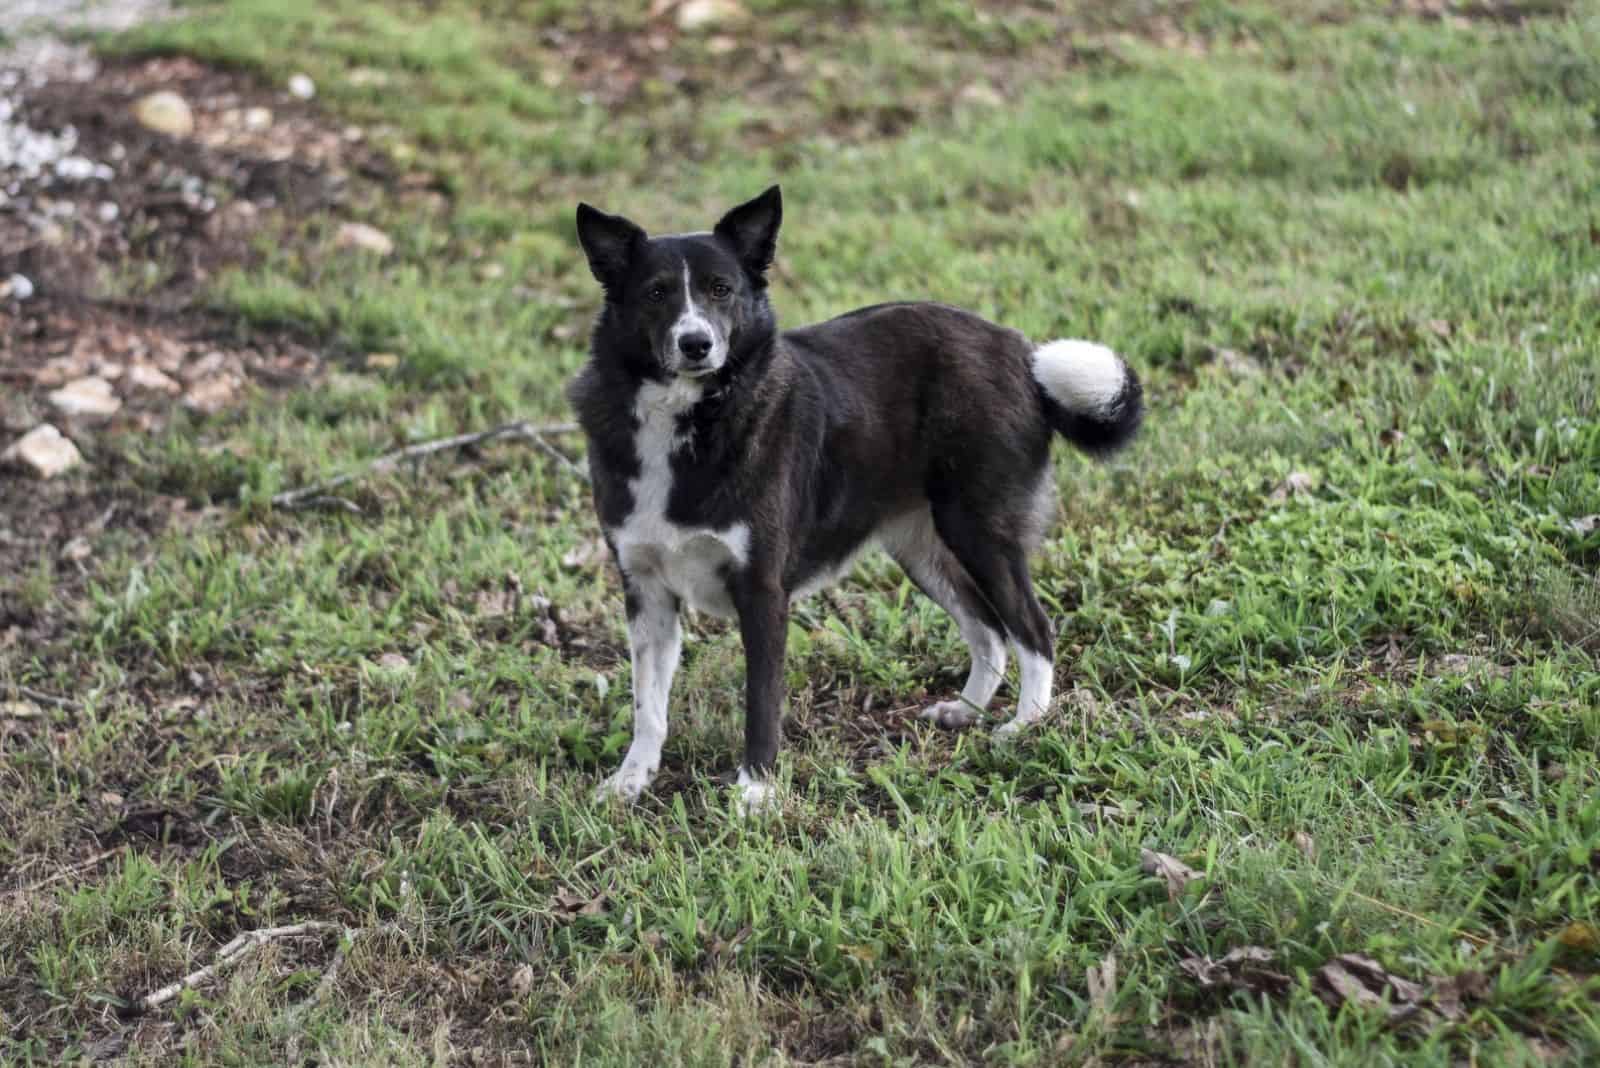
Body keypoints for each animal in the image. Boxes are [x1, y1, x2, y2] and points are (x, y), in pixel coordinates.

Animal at [569, 187, 1145, 808]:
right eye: (656, 293)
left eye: (721, 289)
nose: (696, 344)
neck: (690, 417)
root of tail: (1021, 353)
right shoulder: (646, 590)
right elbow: (647, 706)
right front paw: (631, 779)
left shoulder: (763, 591)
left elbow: (760, 703)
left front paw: (755, 789)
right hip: (923, 547)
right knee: (989, 631)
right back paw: (966, 711)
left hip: (979, 530)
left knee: (1033, 629)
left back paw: (1025, 725)